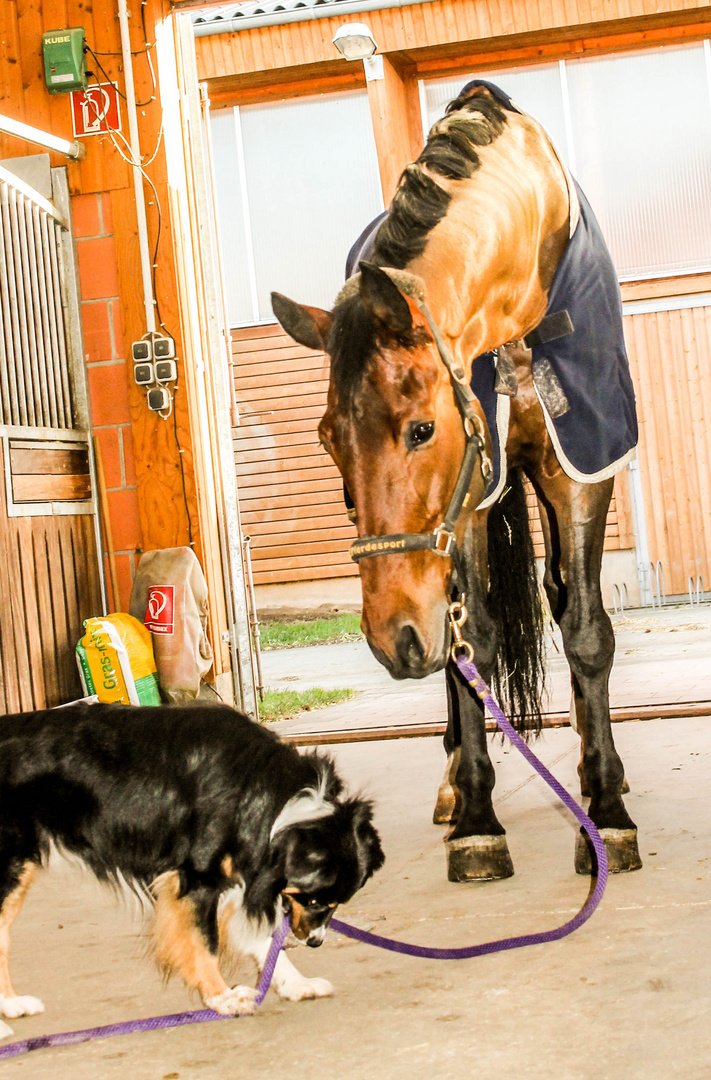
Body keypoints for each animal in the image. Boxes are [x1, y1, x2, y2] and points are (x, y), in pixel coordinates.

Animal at [0, 704, 382, 1032]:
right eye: (315, 900)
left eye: (336, 904)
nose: (315, 941)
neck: (269, 798)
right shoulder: (198, 880)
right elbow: (205, 942)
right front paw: (223, 998)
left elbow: (262, 941)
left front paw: (296, 983)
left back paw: (12, 1007)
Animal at [269, 79, 639, 881]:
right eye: (326, 439)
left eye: (420, 429)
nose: (390, 638)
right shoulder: (468, 494)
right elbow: (479, 646)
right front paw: (476, 821)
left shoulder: (581, 467)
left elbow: (587, 631)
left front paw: (606, 811)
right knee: (457, 644)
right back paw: (452, 784)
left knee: (555, 598)